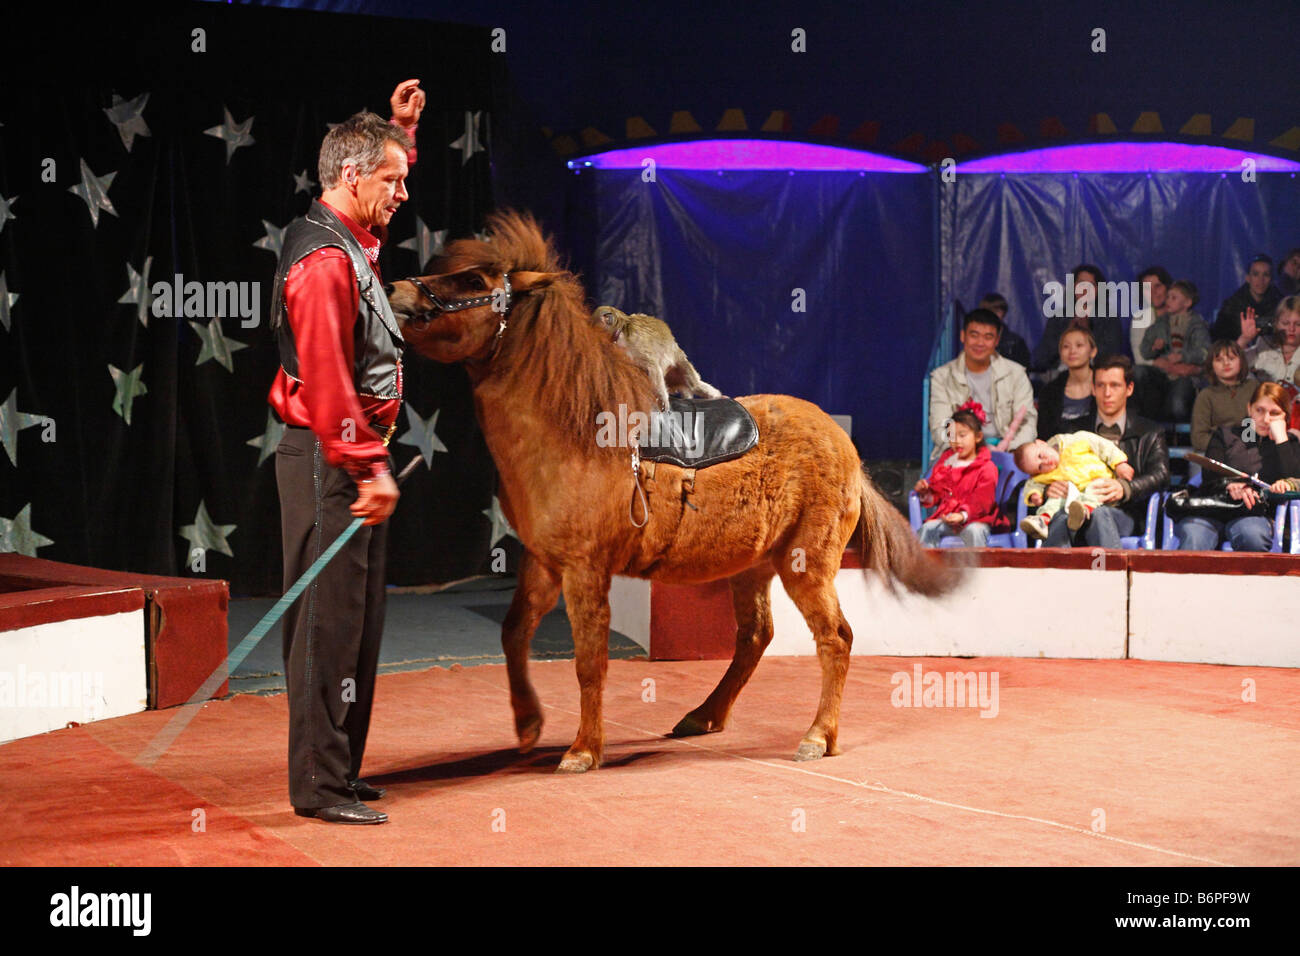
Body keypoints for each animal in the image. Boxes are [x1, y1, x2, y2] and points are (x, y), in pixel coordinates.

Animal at [592, 306, 722, 411]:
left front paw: (661, 398)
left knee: (694, 385)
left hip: (681, 361)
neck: (619, 334)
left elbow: (652, 366)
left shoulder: (635, 344)